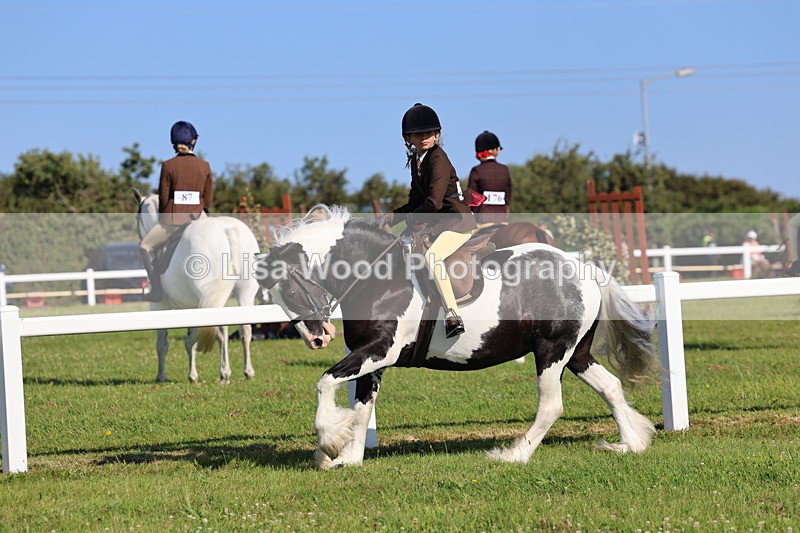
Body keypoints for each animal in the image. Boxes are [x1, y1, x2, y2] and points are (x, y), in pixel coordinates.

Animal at [134, 190, 261, 383]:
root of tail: (227, 229)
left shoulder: (158, 306)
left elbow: (162, 343)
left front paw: (162, 376)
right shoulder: (193, 305)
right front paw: (192, 374)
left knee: (221, 330)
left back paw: (225, 373)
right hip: (245, 293)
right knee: (245, 329)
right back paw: (248, 372)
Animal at [255, 206, 659, 469]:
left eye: (287, 290)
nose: (317, 339)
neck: (378, 277)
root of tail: (586, 268)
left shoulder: (381, 351)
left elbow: (325, 382)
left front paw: (329, 443)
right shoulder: (371, 358)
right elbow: (362, 407)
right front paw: (349, 459)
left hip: (552, 352)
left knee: (551, 406)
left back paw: (513, 455)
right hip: (576, 353)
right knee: (610, 386)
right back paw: (630, 444)